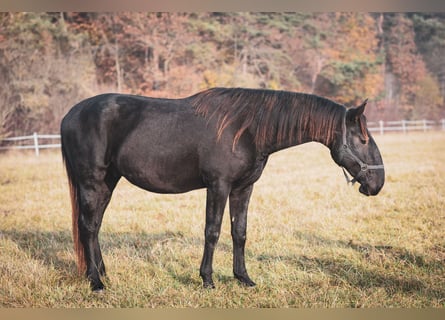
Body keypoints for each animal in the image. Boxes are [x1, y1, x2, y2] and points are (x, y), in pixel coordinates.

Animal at [60, 86, 384, 292]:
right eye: (363, 140)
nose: (378, 183)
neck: (246, 129)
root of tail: (69, 115)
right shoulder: (218, 186)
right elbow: (212, 232)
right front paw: (207, 280)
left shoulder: (243, 188)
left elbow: (239, 232)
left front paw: (244, 278)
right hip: (92, 183)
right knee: (88, 227)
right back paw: (96, 282)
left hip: (107, 183)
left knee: (94, 226)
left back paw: (102, 273)